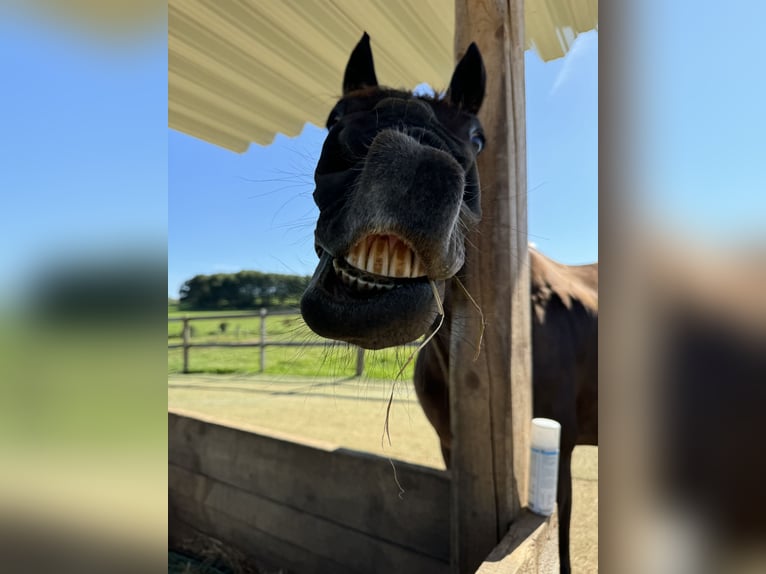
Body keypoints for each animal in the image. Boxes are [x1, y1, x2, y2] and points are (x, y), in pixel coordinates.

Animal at [302, 33, 600, 572]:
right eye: (335, 116)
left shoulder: (559, 451)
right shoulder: (448, 446)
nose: (410, 165)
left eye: (477, 138)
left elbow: (561, 539)